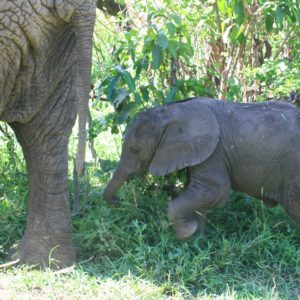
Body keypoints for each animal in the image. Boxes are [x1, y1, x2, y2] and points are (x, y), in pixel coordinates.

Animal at [103, 96, 300, 239]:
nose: (120, 202)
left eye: (134, 150)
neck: (171, 111)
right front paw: (198, 238)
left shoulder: (214, 152)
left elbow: (217, 191)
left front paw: (186, 233)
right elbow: (202, 193)